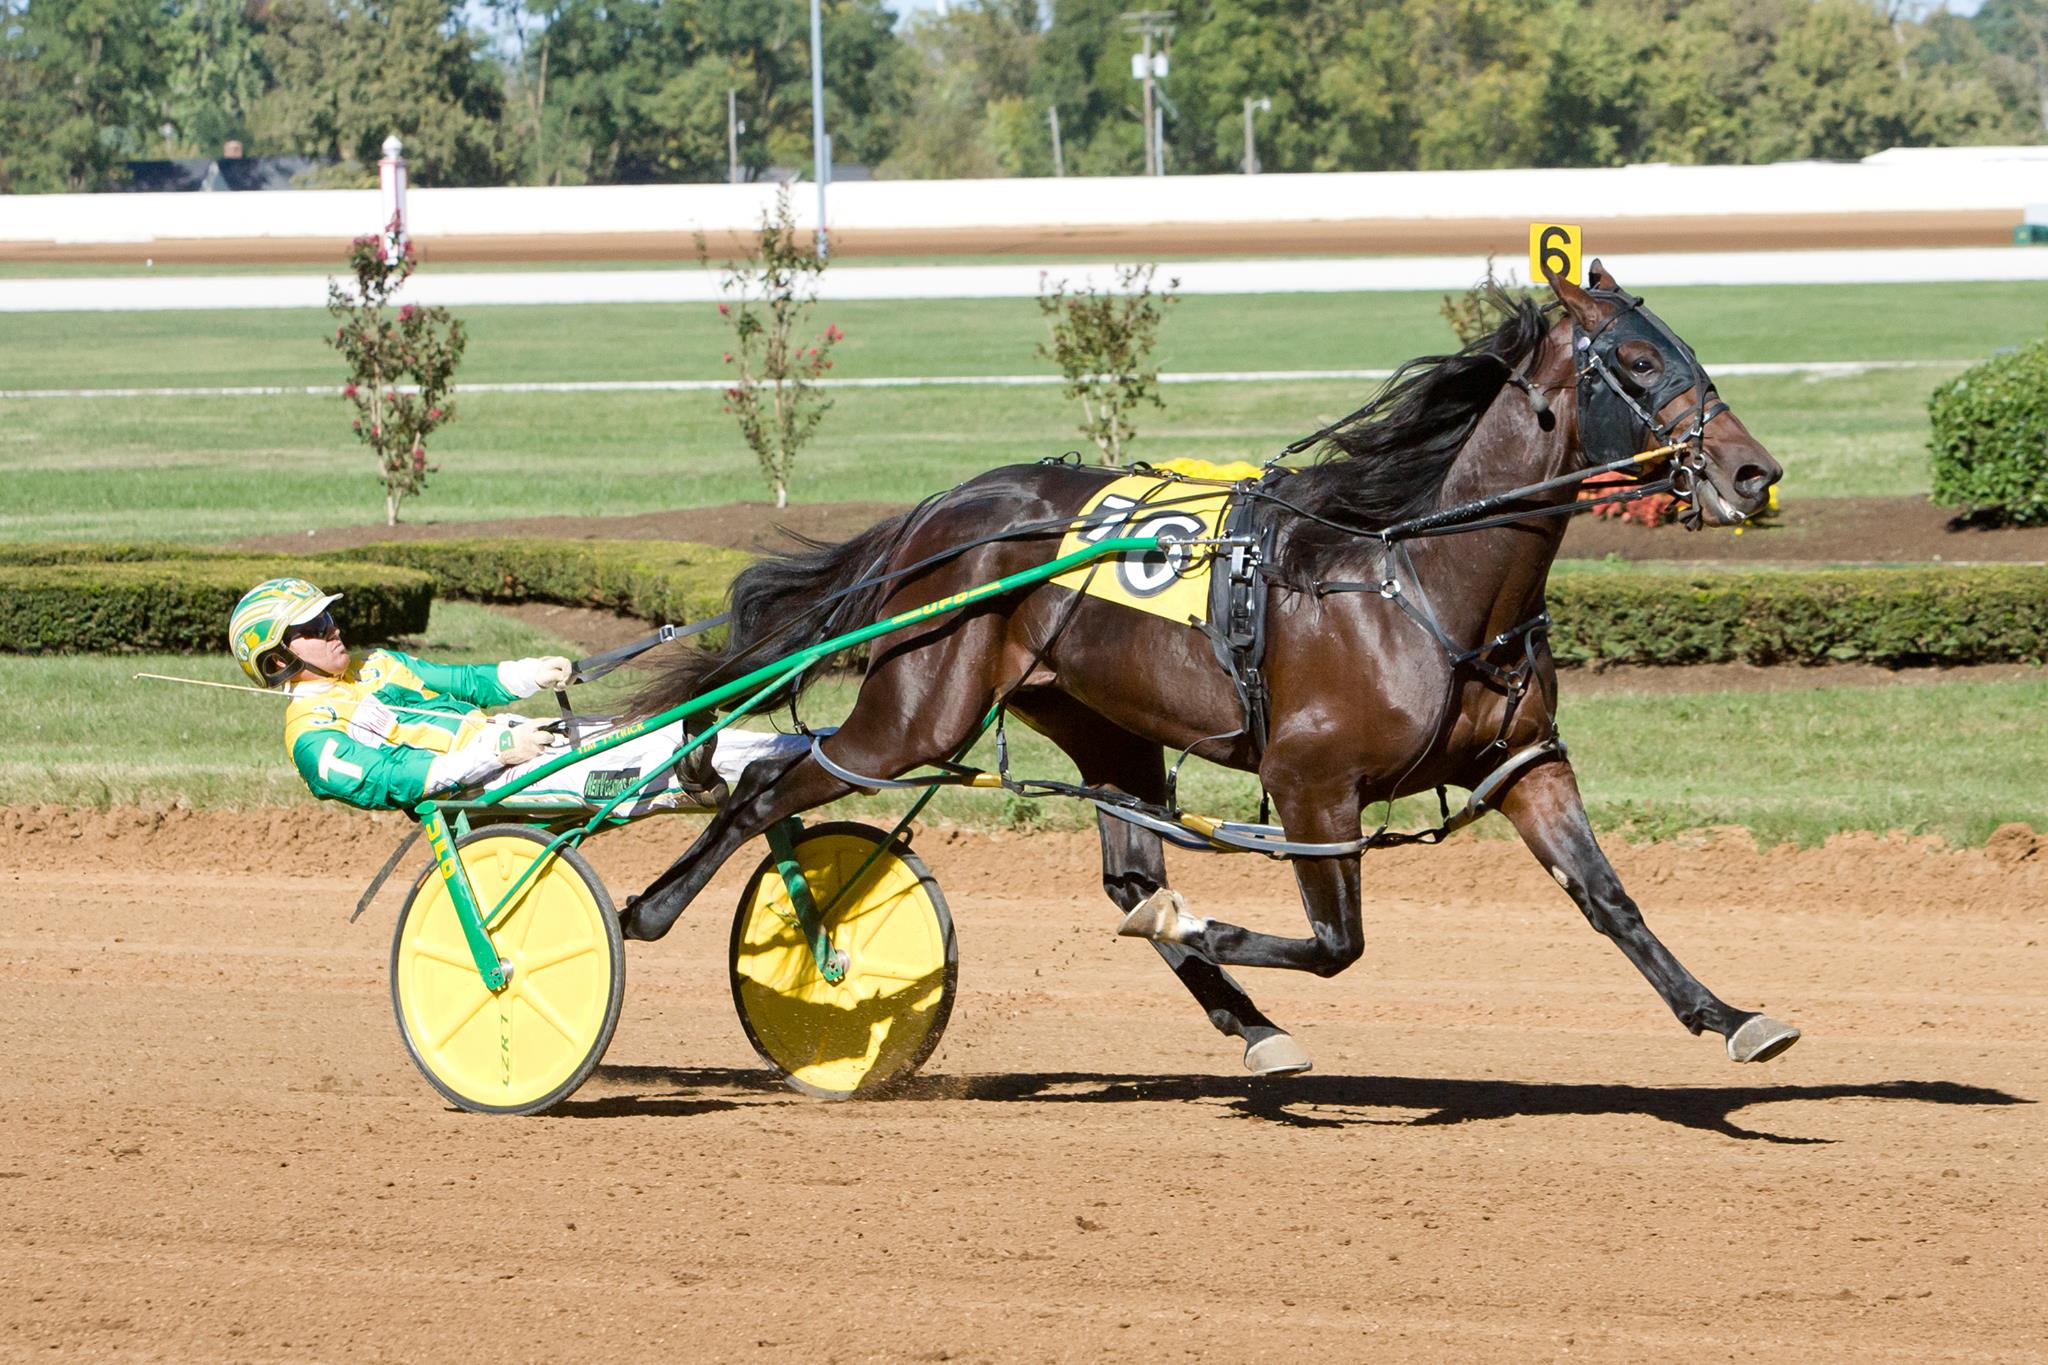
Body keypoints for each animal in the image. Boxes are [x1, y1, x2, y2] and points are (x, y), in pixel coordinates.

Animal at [618, 261, 1794, 1080]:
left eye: (1685, 348)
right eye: (1637, 363)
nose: (1753, 473)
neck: (1418, 576)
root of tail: (943, 510)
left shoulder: (1525, 763)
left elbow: (1609, 900)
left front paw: (1733, 1017)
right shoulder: (1310, 784)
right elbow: (1334, 943)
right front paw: (1200, 923)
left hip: (1102, 723)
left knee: (1128, 869)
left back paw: (1249, 1024)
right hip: (916, 713)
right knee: (769, 787)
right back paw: (648, 911)